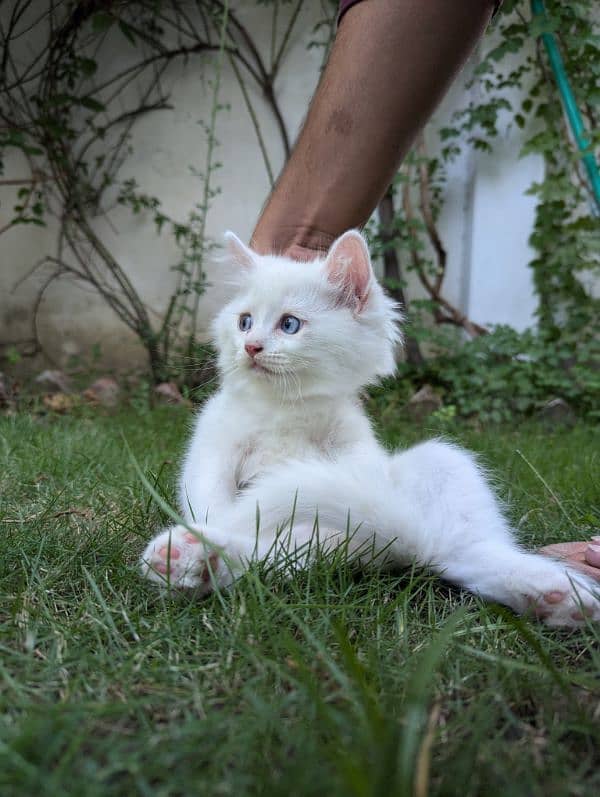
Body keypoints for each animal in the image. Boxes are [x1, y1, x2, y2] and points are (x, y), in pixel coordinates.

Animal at [138, 230, 596, 628]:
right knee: (276, 555)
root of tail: (405, 550)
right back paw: (196, 562)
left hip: (443, 463)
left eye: (290, 325)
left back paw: (556, 597)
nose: (250, 348)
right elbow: (212, 500)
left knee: (461, 552)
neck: (285, 408)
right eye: (244, 322)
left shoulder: (354, 451)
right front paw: (216, 528)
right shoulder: (214, 446)